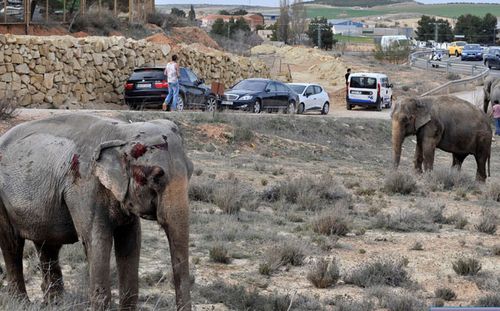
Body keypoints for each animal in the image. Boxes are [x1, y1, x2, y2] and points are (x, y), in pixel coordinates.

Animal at [0, 114, 193, 311]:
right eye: (155, 178)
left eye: (191, 170)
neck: (122, 133)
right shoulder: (84, 187)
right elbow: (97, 240)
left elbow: (131, 241)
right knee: (12, 244)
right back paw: (21, 303)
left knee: (47, 245)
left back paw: (54, 304)